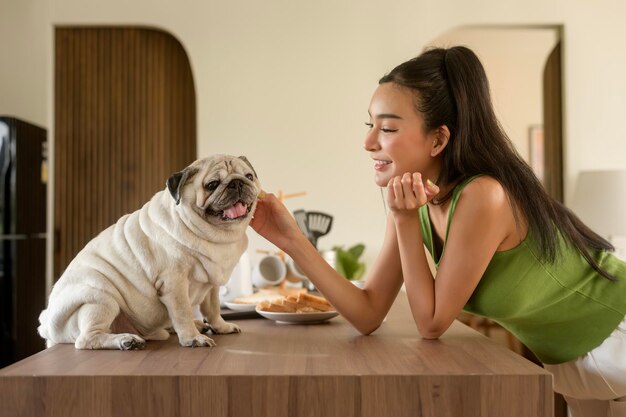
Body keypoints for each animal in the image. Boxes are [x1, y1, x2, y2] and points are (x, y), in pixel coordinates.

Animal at [37, 154, 260, 350]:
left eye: (249, 176)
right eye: (212, 184)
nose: (237, 183)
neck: (216, 235)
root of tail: (46, 327)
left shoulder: (212, 281)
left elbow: (212, 308)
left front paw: (221, 327)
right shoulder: (174, 284)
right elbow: (183, 313)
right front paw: (192, 338)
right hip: (99, 298)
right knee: (87, 339)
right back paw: (125, 341)